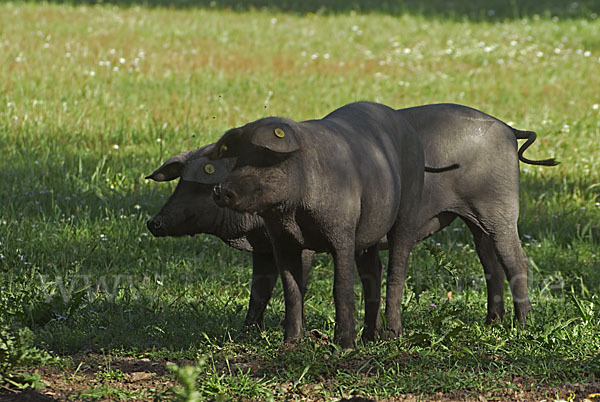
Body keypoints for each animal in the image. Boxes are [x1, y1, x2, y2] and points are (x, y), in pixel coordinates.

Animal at [209, 101, 428, 348]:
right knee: (373, 270)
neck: (293, 212)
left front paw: (344, 347)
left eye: (264, 157)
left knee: (397, 268)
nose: (221, 189)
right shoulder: (282, 240)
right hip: (368, 229)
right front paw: (290, 344)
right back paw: (370, 338)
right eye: (238, 159)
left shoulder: (342, 230)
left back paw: (391, 336)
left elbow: (341, 287)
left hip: (409, 203)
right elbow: (292, 288)